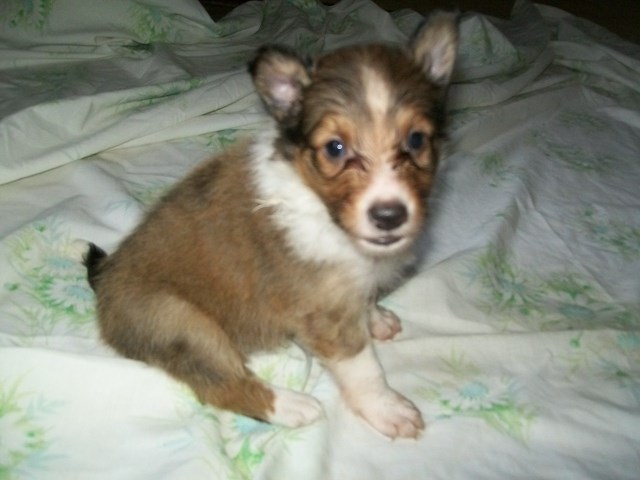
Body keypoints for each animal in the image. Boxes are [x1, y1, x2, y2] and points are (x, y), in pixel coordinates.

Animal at [85, 12, 458, 438]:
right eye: (335, 148)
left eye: (416, 140)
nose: (389, 216)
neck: (319, 206)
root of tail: (105, 279)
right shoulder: (326, 316)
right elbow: (364, 368)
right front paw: (388, 408)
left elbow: (363, 299)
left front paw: (375, 317)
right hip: (180, 322)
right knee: (223, 387)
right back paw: (293, 406)